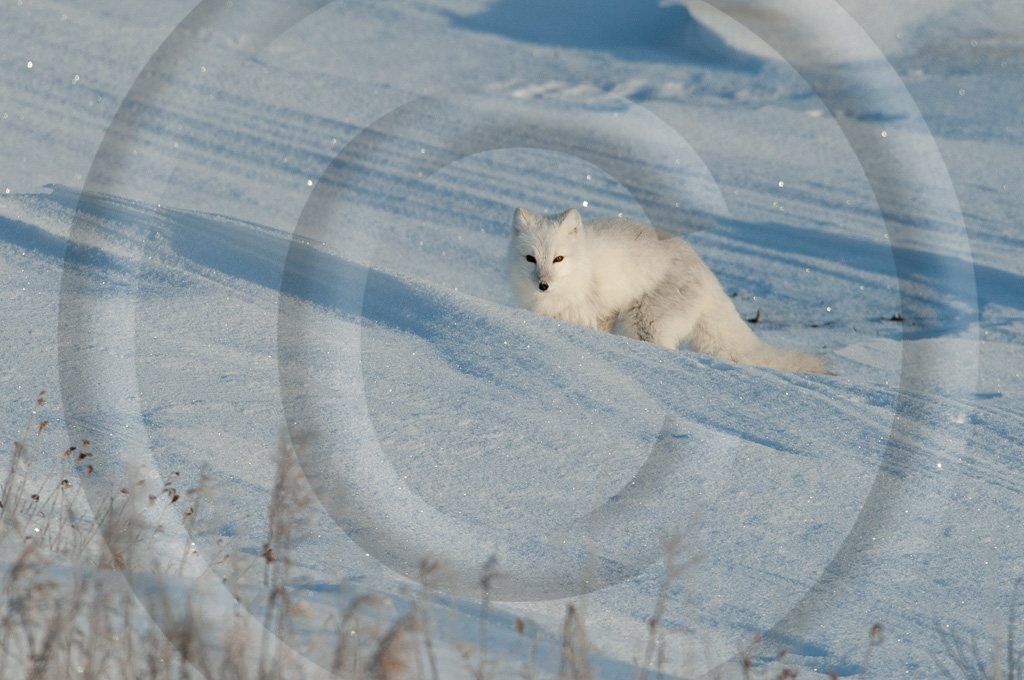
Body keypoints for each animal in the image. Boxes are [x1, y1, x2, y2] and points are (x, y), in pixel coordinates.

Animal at [507, 208, 827, 374]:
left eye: (558, 259)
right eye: (530, 259)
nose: (543, 284)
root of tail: (707, 272)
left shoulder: (601, 314)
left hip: (644, 323)